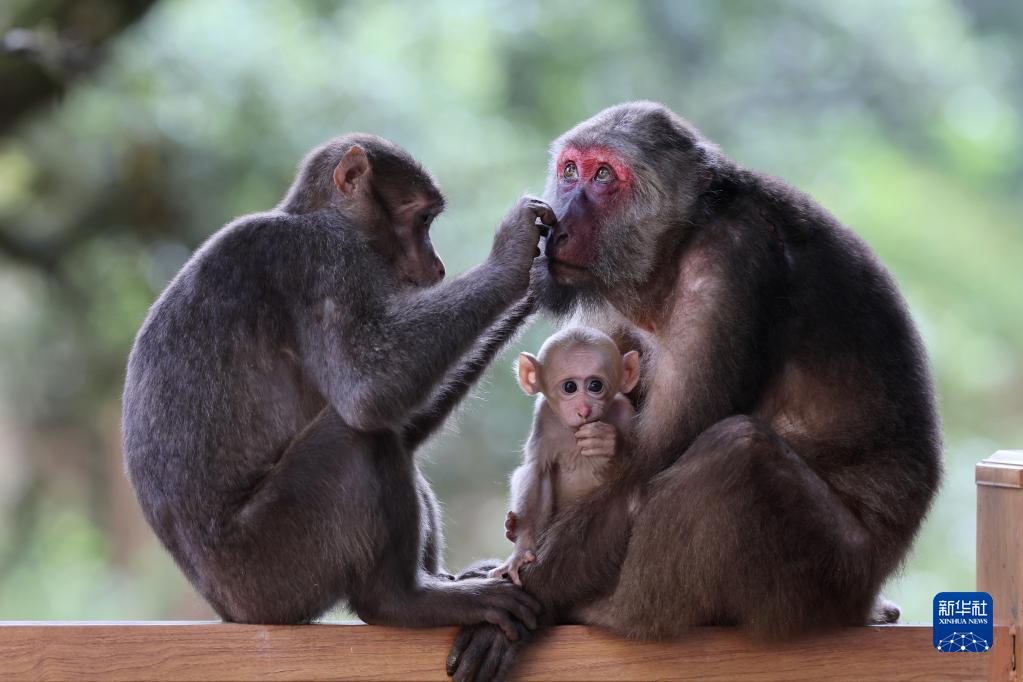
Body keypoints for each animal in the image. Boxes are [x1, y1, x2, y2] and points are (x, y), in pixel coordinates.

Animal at [119, 132, 560, 642]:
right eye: (422, 220)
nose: (437, 266)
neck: (311, 216)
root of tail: (230, 609)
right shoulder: (323, 258)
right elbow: (367, 390)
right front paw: (514, 258)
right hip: (277, 563)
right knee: (359, 440)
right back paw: (403, 601)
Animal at [486, 327, 638, 588]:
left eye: (595, 385)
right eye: (570, 387)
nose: (584, 409)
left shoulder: (625, 412)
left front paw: (608, 442)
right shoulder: (544, 417)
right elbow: (537, 472)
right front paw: (520, 553)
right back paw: (512, 528)